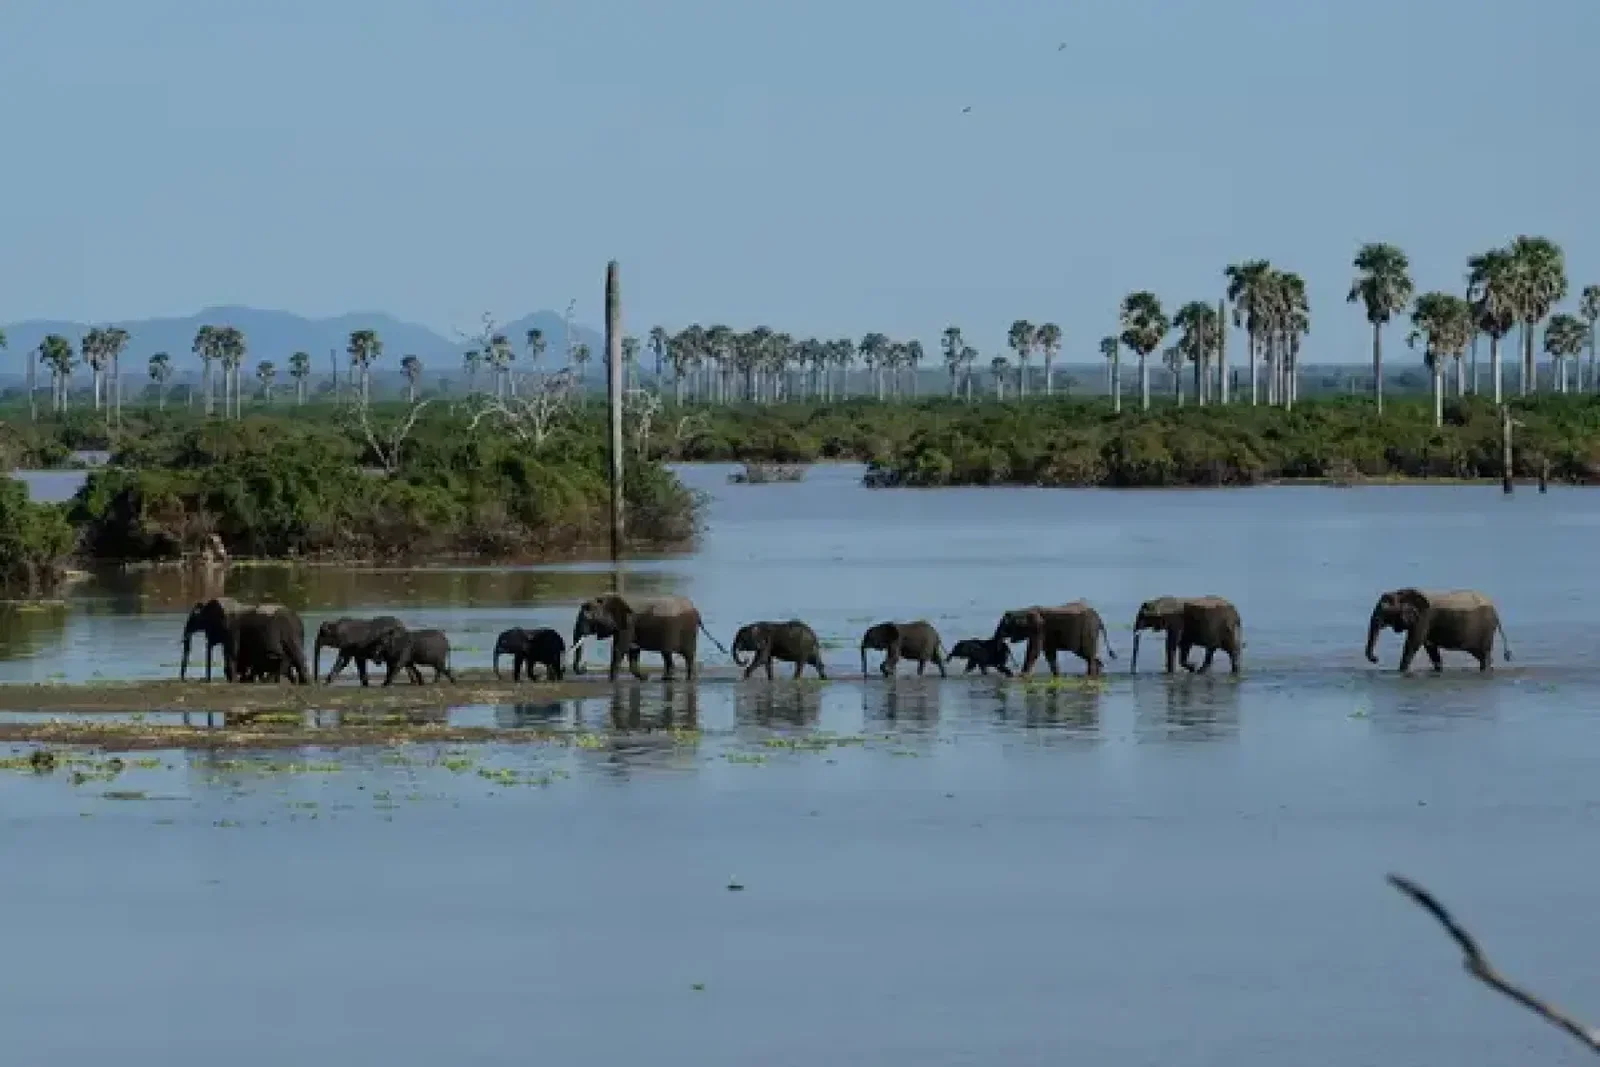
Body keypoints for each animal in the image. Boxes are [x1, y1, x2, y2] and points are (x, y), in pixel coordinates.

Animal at [180, 598, 309, 684]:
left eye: (196, 619)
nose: (184, 680)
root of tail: (297, 619)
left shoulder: (232, 629)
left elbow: (232, 653)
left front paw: (234, 681)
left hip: (281, 633)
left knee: (286, 656)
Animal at [571, 593, 725, 682]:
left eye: (587, 619)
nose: (584, 669)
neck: (606, 599)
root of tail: (697, 612)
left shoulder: (628, 624)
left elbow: (619, 649)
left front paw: (612, 681)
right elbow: (633, 651)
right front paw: (644, 678)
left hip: (686, 630)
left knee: (683, 655)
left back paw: (683, 679)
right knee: (670, 655)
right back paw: (668, 678)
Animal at [1365, 588, 1513, 672]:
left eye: (1384, 609)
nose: (1376, 659)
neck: (1402, 593)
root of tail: (1497, 613)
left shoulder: (1424, 617)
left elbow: (1414, 643)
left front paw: (1401, 672)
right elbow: (1430, 646)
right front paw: (1438, 671)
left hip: (1486, 628)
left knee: (1484, 654)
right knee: (1481, 655)